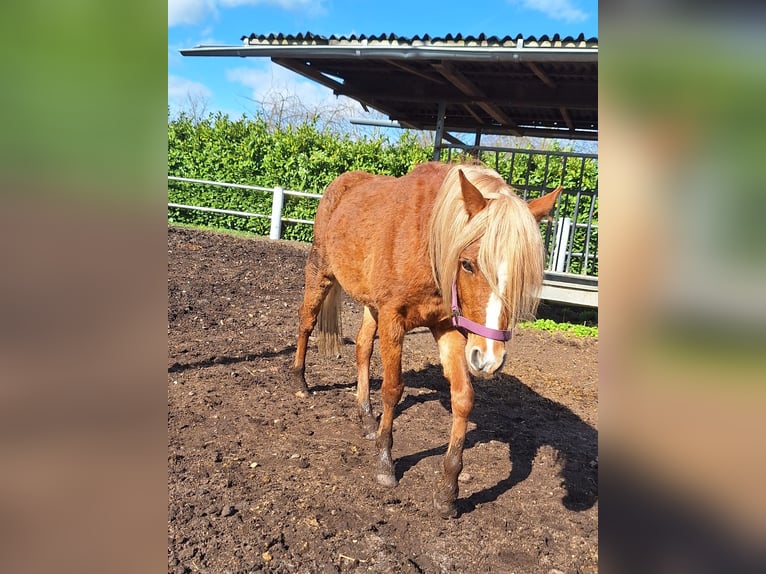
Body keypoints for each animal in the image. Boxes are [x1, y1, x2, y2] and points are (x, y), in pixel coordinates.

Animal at [291, 161, 561, 518]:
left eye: (520, 278)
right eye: (468, 264)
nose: (489, 358)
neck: (428, 241)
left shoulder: (447, 327)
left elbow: (463, 397)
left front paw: (448, 491)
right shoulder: (393, 318)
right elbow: (393, 389)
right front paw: (385, 464)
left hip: (371, 305)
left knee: (362, 347)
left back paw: (366, 416)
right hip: (320, 272)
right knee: (306, 323)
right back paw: (300, 381)